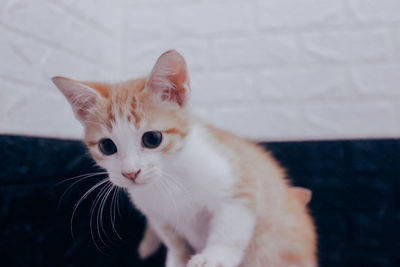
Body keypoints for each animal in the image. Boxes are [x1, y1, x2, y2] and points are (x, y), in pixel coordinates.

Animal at [52, 50, 316, 267]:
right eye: (107, 146)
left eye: (152, 139)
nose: (130, 173)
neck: (169, 179)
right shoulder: (158, 216)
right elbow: (175, 243)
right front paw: (178, 260)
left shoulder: (240, 181)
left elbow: (231, 224)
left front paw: (215, 256)